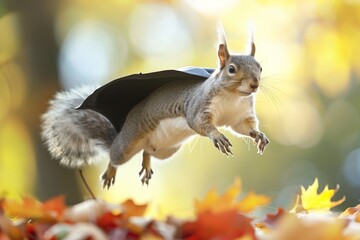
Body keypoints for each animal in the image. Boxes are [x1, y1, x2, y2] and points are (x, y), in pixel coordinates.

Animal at [40, 31, 268, 189]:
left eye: (260, 67)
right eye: (231, 69)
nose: (254, 84)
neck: (233, 96)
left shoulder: (240, 115)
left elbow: (243, 127)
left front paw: (258, 135)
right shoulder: (199, 105)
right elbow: (199, 123)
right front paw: (217, 136)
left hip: (167, 149)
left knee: (147, 151)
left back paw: (147, 163)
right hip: (129, 142)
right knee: (116, 155)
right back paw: (110, 171)